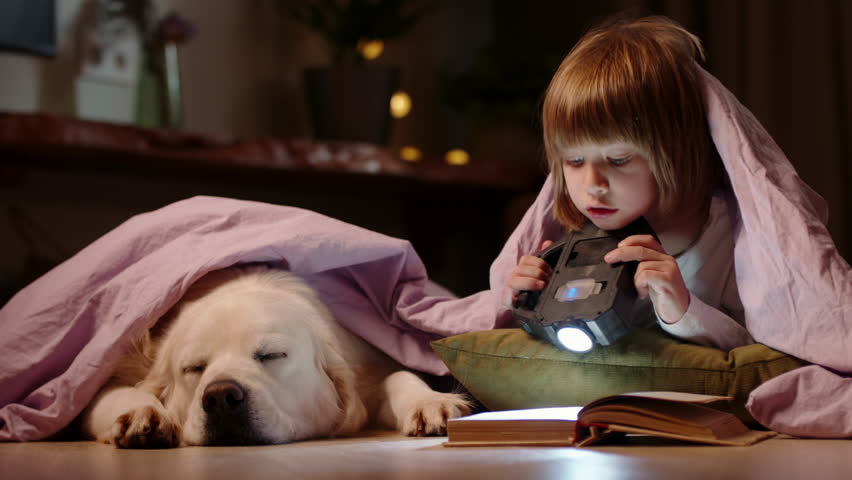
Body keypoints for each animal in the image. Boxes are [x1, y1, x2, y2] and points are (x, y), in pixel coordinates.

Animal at [78, 264, 472, 448]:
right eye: (194, 368)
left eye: (271, 355)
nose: (221, 396)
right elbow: (113, 393)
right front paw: (143, 414)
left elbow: (398, 376)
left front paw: (429, 402)